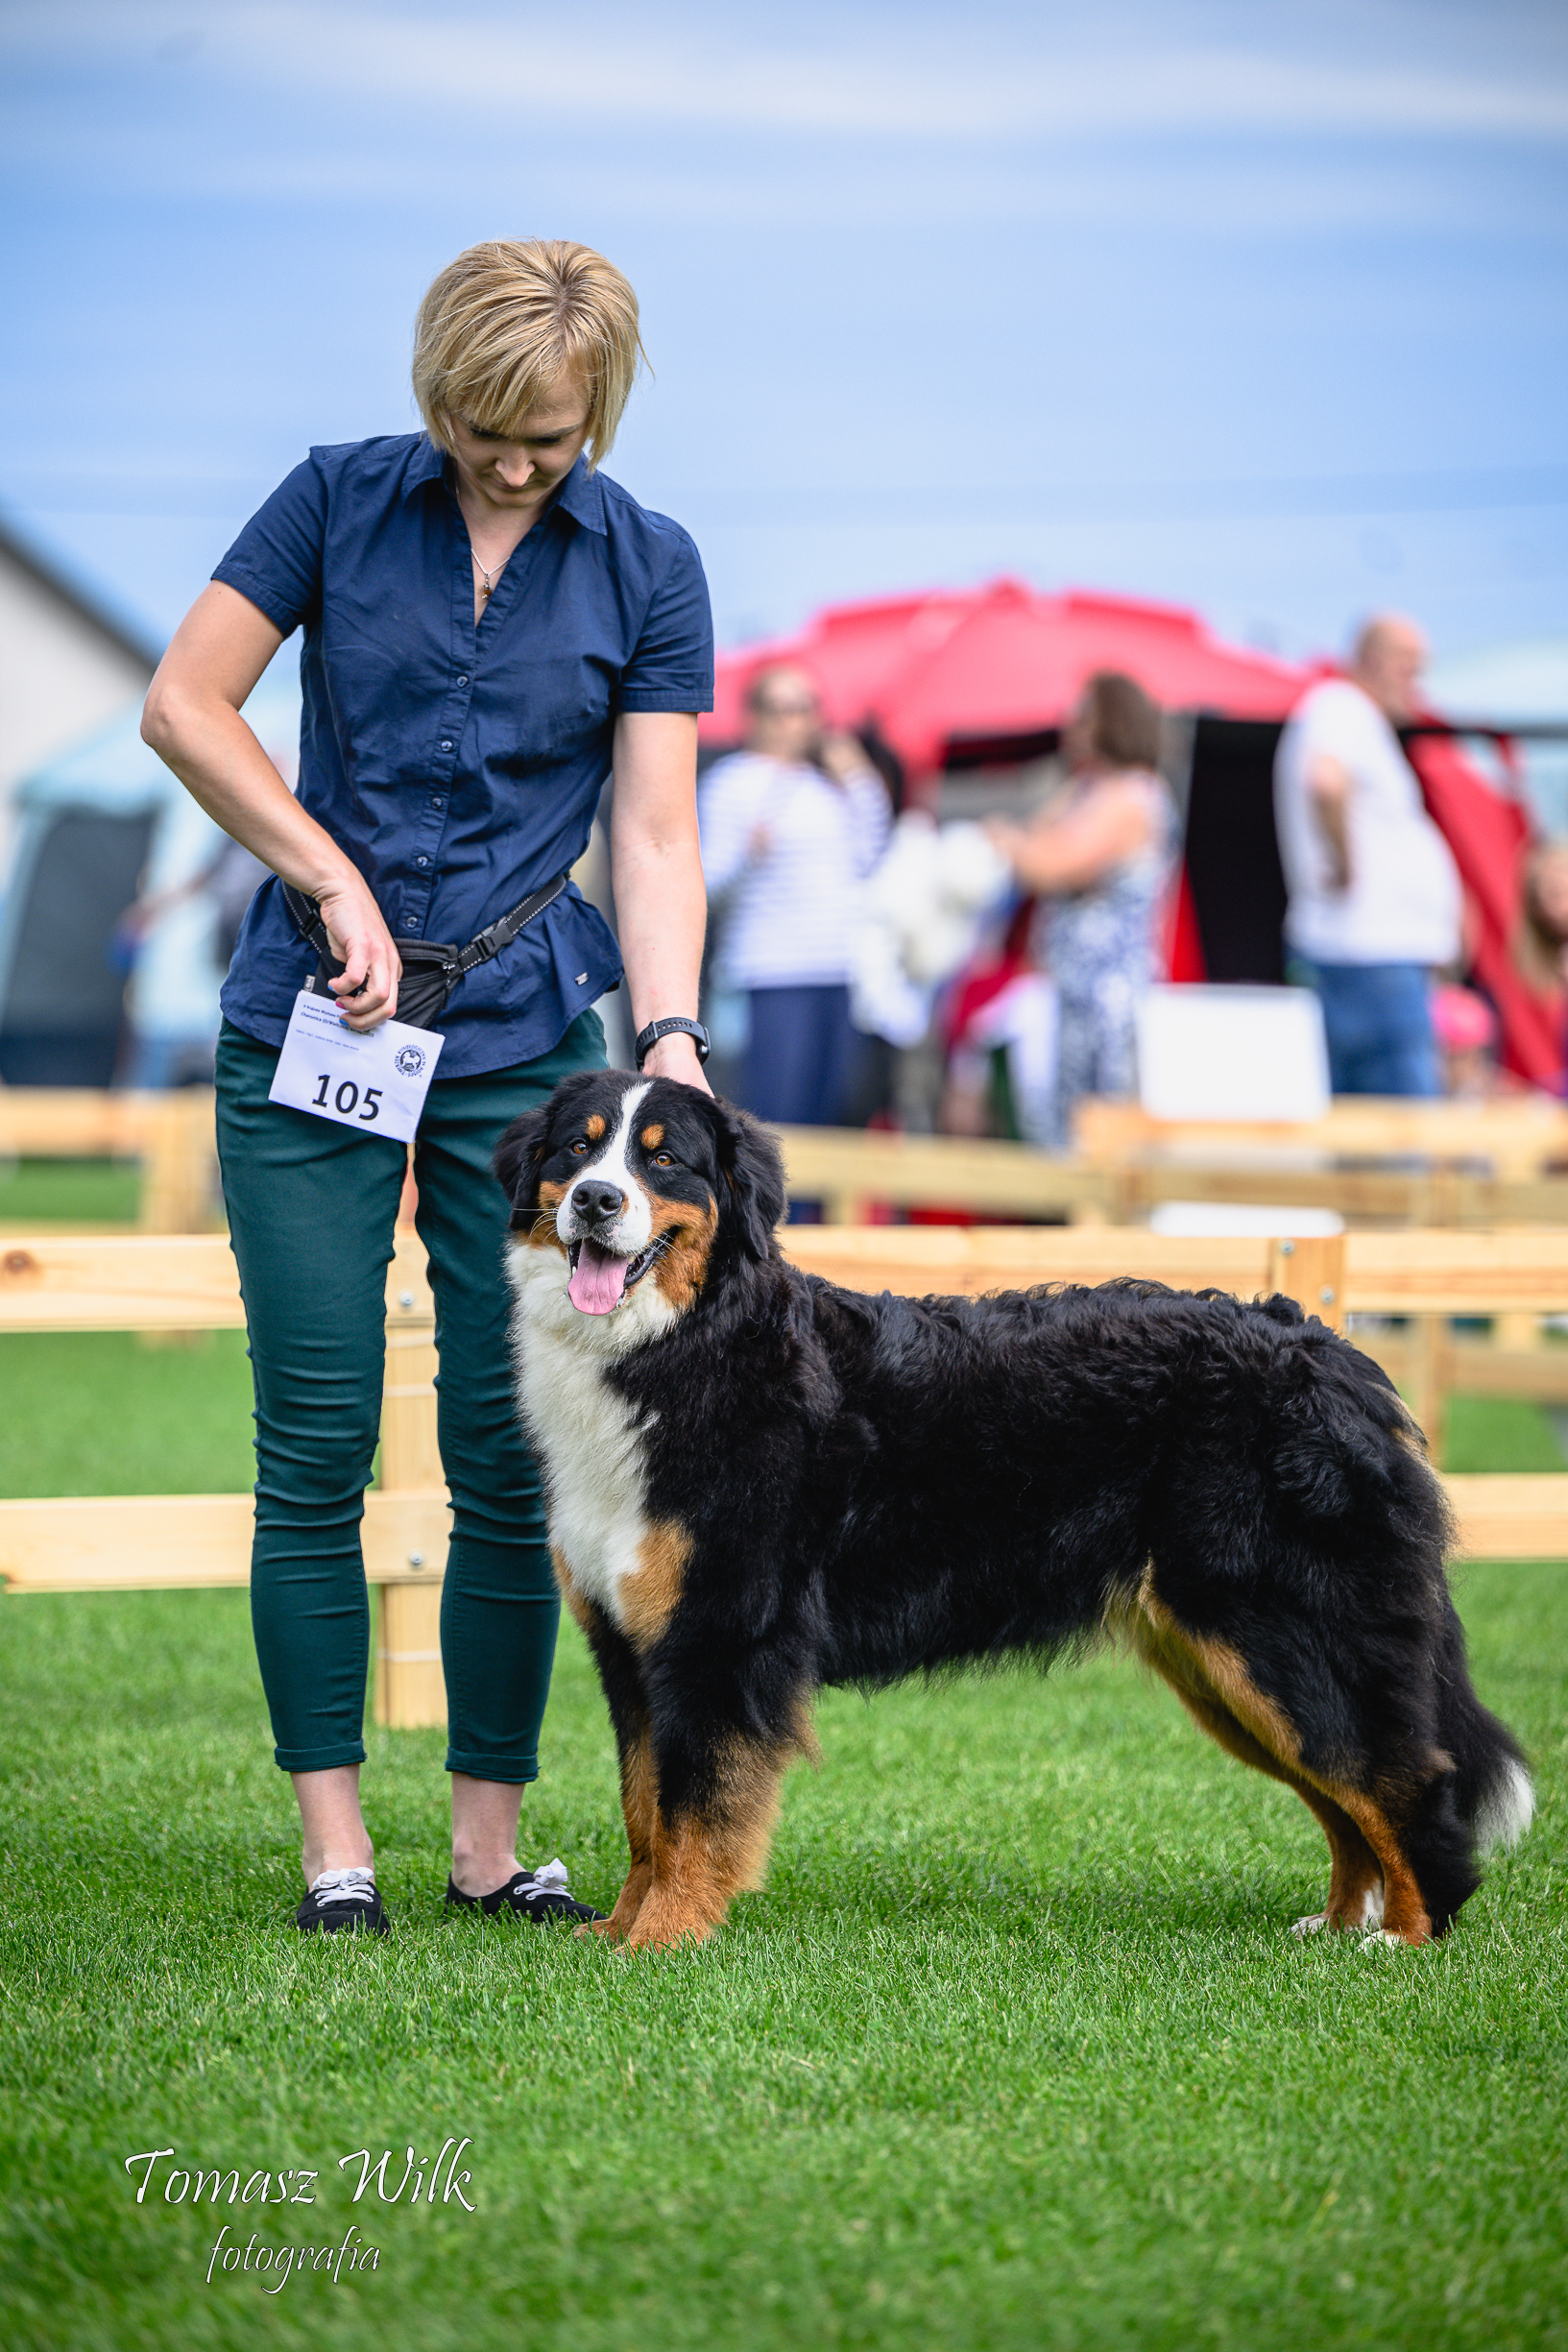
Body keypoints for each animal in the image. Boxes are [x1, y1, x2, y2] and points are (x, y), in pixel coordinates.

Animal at [495, 1069, 1533, 1952]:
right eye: (578, 1148)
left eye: (662, 1159)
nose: (596, 1200)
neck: (679, 1344)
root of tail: (1328, 1347)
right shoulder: (631, 1642)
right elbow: (644, 1805)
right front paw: (617, 1928)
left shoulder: (717, 1633)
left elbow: (691, 1806)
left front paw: (665, 1937)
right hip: (1224, 1663)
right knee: (1345, 1792)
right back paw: (1341, 1925)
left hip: (1279, 1631)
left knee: (1403, 1779)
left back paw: (1401, 1940)